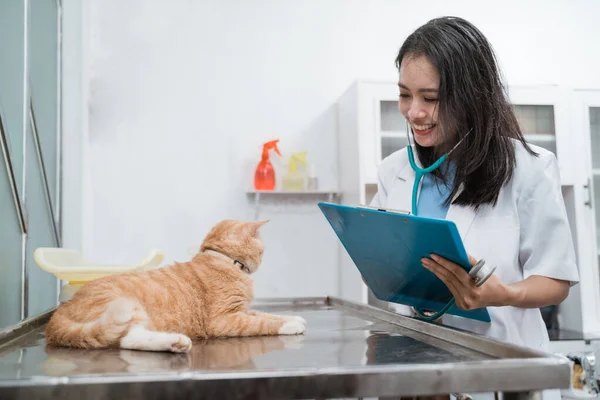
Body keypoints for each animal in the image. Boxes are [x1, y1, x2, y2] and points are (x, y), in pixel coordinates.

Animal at [44, 219, 304, 354]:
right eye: (262, 251)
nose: (261, 260)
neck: (224, 260)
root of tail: (60, 313)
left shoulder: (242, 310)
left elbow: (265, 314)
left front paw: (293, 317)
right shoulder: (224, 319)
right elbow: (262, 322)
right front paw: (290, 325)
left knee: (128, 340)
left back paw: (174, 342)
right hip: (127, 307)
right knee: (129, 338)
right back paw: (175, 342)